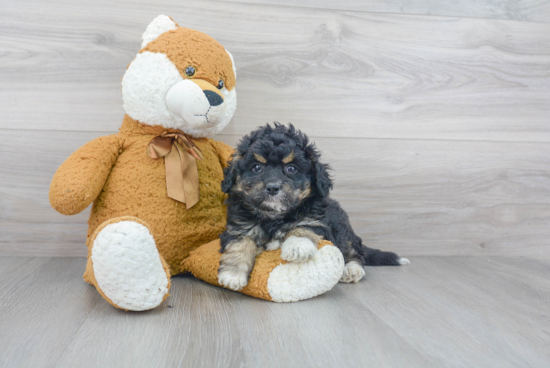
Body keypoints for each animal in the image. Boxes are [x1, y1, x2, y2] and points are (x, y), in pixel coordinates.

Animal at [218, 123, 412, 290]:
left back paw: (352, 269)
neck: (274, 217)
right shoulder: (238, 225)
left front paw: (297, 246)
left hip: (342, 229)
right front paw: (232, 274)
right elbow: (239, 242)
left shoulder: (317, 219)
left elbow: (304, 225)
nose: (272, 187)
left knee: (353, 251)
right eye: (257, 167)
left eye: (291, 169)